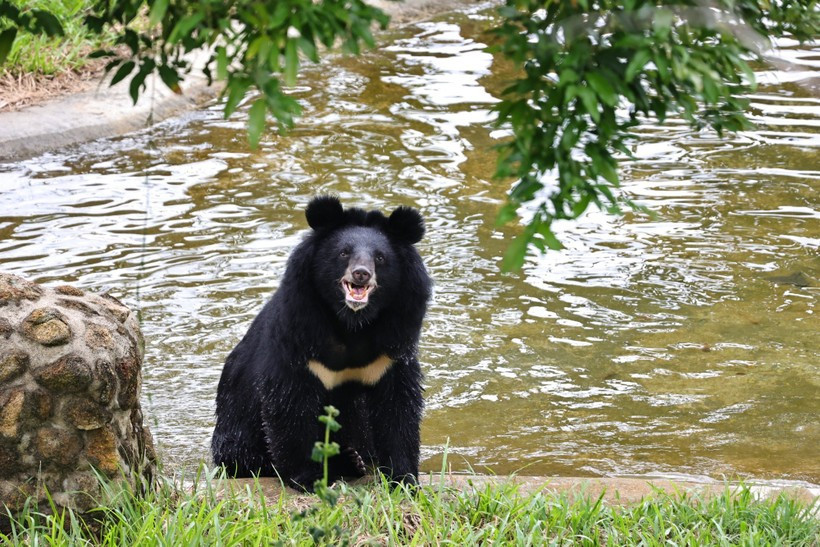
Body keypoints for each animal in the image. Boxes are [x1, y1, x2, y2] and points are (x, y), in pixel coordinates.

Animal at [211, 196, 432, 491]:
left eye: (380, 257)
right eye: (344, 253)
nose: (361, 274)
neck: (352, 323)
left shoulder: (392, 346)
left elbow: (397, 408)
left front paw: (404, 479)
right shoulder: (300, 338)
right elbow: (291, 405)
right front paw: (308, 477)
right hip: (236, 428)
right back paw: (347, 460)